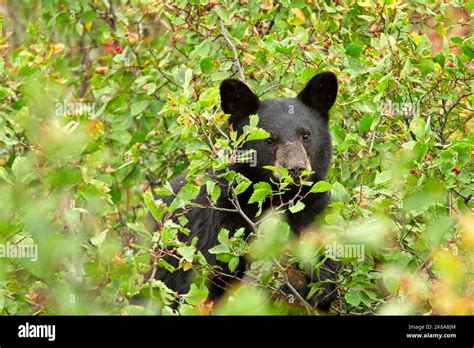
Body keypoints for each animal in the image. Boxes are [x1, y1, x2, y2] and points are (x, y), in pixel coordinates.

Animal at [146, 72, 338, 312]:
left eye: (306, 135)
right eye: (269, 139)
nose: (296, 168)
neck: (278, 199)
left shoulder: (314, 210)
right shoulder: (223, 224)